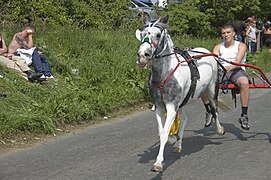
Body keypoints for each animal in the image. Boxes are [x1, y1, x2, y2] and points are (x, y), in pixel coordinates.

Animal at [136, 16, 227, 172]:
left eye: (158, 35)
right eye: (142, 34)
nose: (142, 55)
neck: (164, 75)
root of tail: (206, 52)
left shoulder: (172, 106)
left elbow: (164, 134)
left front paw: (158, 163)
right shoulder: (160, 107)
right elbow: (162, 132)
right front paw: (174, 139)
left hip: (211, 90)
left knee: (214, 109)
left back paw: (219, 129)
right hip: (184, 101)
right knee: (184, 119)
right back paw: (178, 144)